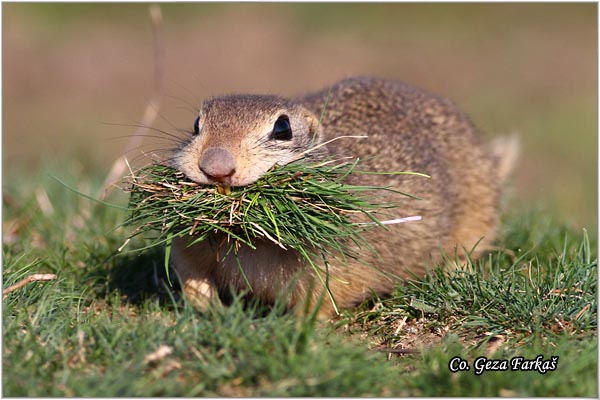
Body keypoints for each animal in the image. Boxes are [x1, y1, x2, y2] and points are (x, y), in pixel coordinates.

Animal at [169, 76, 516, 318]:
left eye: (282, 129)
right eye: (196, 125)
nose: (215, 167)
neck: (246, 236)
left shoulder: (335, 263)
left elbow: (322, 298)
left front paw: (296, 328)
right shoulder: (188, 247)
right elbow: (192, 278)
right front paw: (210, 308)